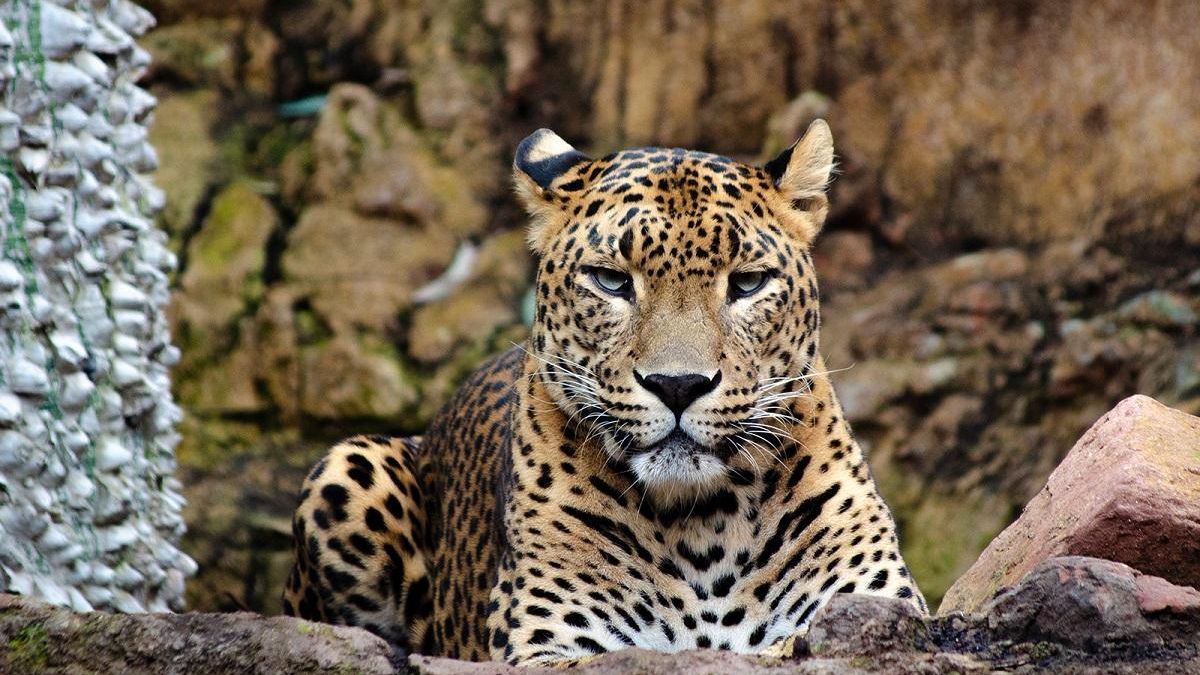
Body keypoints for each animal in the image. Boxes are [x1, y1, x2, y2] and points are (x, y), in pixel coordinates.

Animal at [283, 119, 926, 662]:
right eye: (612, 280)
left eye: (747, 283)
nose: (678, 384)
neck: (705, 524)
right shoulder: (548, 645)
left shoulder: (878, 602)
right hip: (350, 462)